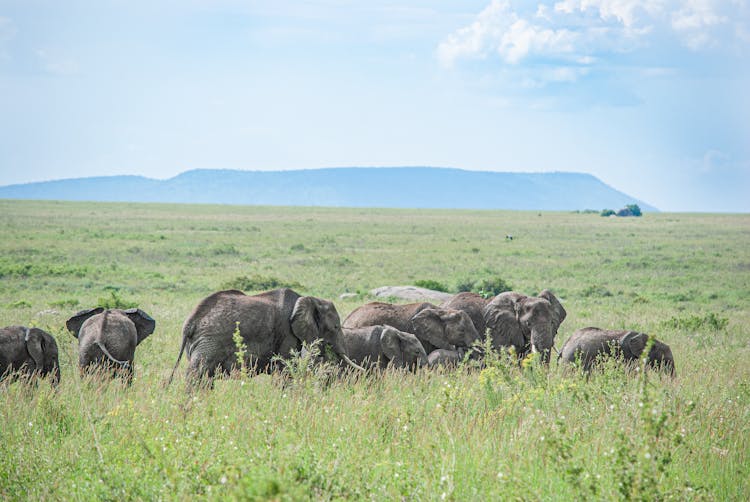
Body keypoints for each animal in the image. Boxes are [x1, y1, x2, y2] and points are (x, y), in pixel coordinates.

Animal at [170, 286, 364, 384]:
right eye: (336, 327)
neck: (309, 299)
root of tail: (190, 322)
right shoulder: (286, 333)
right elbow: (286, 369)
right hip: (209, 342)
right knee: (198, 373)